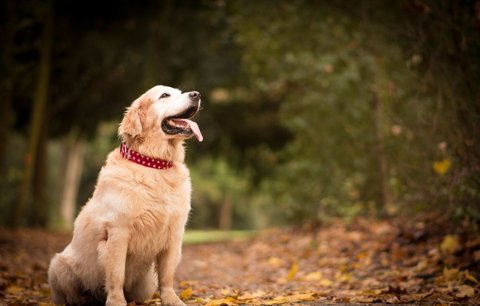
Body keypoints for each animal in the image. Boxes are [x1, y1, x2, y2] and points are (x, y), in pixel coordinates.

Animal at [48, 85, 204, 304]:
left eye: (180, 91)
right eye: (164, 95)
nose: (196, 95)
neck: (154, 164)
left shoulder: (174, 234)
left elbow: (167, 275)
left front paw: (172, 300)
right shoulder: (118, 231)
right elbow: (116, 274)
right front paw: (116, 301)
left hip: (146, 284)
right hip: (58, 265)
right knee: (69, 295)